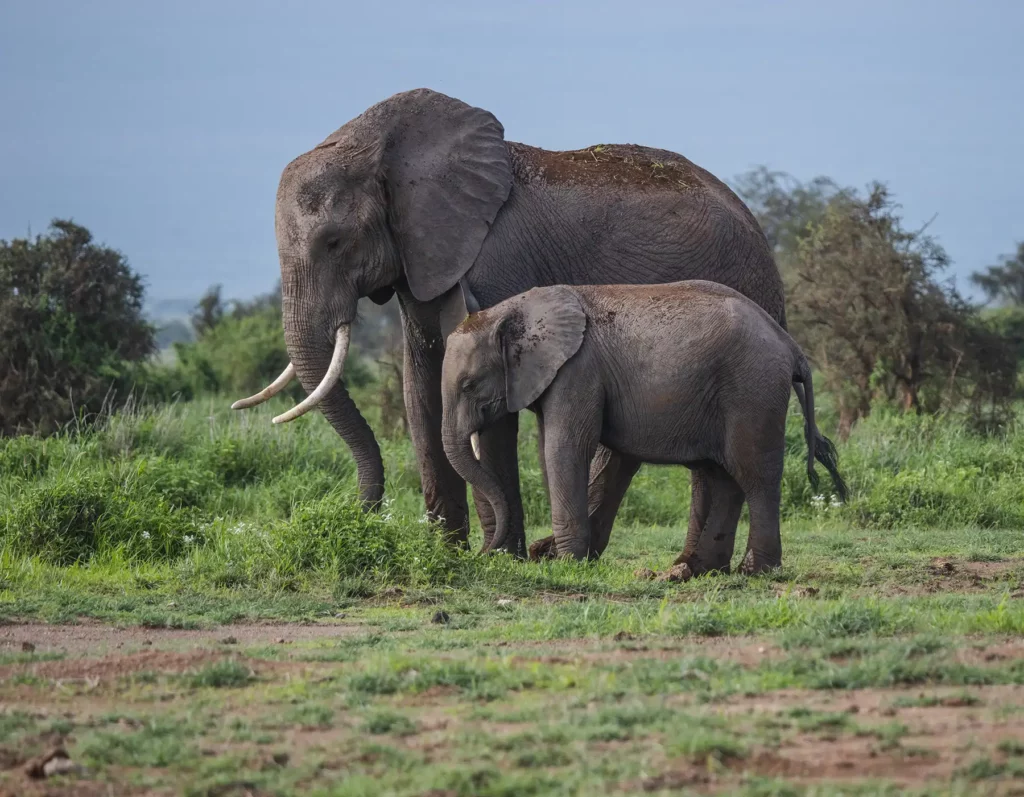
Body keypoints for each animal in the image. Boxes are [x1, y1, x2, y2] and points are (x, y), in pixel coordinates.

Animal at [230, 88, 788, 569]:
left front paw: (497, 555)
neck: (383, 147)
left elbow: (488, 408)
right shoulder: (421, 257)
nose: (358, 516)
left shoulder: (493, 258)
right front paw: (444, 554)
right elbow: (422, 387)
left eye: (334, 242)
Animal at [439, 280, 847, 572]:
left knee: (753, 473)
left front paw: (566, 563)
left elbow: (565, 449)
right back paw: (690, 570)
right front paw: (563, 557)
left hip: (753, 389)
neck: (513, 309)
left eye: (469, 385)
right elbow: (552, 450)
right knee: (721, 474)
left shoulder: (578, 369)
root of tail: (790, 345)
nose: (483, 554)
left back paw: (755, 571)